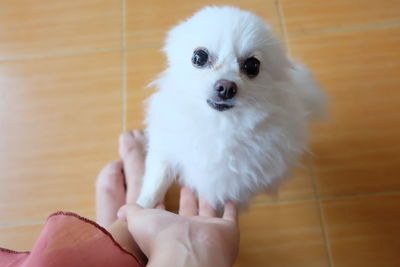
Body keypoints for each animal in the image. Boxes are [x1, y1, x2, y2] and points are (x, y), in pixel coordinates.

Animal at [137, 6, 324, 211]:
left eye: (253, 65)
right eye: (199, 57)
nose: (226, 87)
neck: (217, 124)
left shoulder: (235, 186)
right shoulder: (165, 147)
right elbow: (157, 180)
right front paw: (142, 205)